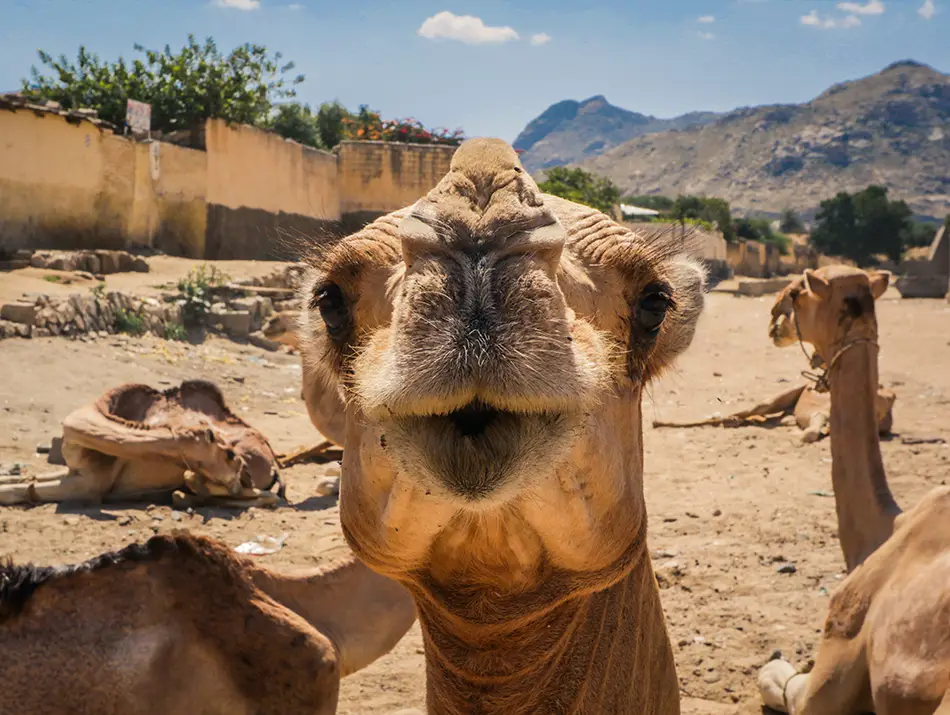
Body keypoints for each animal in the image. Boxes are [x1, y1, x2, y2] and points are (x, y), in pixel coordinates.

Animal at [0, 380, 284, 507]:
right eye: (228, 455)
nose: (243, 472)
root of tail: (274, 463)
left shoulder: (89, 485)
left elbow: (20, 489)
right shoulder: (74, 470)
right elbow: (28, 479)